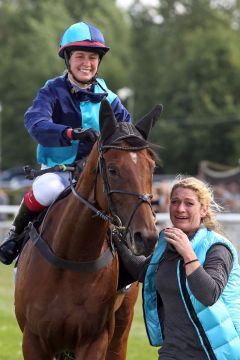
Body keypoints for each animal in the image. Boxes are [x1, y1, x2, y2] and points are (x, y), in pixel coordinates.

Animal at [14, 99, 162, 360]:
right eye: (112, 169)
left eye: (151, 168)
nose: (147, 237)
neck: (71, 257)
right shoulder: (33, 341)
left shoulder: (94, 340)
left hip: (121, 327)